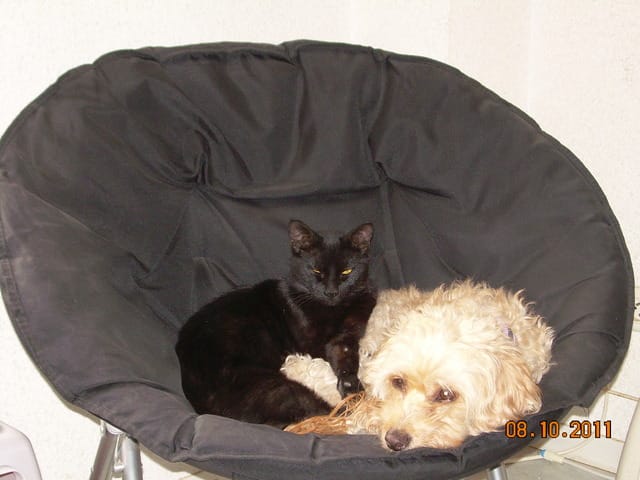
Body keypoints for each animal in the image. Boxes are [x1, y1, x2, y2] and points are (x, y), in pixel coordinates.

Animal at [175, 220, 376, 427]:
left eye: (347, 271)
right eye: (316, 271)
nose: (331, 292)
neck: (335, 309)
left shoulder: (348, 334)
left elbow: (345, 354)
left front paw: (350, 384)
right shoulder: (312, 344)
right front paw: (354, 392)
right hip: (273, 387)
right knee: (323, 413)